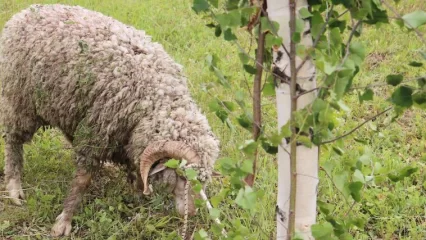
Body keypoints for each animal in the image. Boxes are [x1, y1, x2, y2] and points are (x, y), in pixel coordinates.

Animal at [0, 3, 220, 236]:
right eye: (181, 175)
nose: (193, 213)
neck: (154, 99)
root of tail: (25, 12)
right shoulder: (98, 132)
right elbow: (82, 181)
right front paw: (64, 221)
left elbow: (135, 170)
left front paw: (137, 193)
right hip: (19, 99)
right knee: (13, 141)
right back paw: (14, 187)